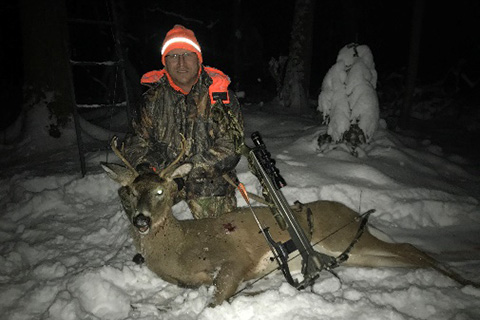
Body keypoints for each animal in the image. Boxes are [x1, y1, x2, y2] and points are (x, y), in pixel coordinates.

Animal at [101, 137, 476, 304]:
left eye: (161, 191)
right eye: (130, 191)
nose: (141, 221)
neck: (183, 247)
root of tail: (351, 212)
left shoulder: (234, 260)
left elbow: (217, 297)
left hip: (341, 237)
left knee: (412, 247)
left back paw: (466, 282)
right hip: (357, 254)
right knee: (407, 253)